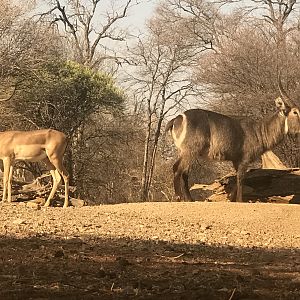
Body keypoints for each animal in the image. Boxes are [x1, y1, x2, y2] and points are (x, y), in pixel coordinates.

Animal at [166, 97, 300, 203]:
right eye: (295, 112)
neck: (259, 131)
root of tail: (177, 118)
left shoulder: (236, 160)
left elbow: (236, 179)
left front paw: (231, 198)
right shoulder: (244, 159)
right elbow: (241, 178)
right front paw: (239, 200)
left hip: (186, 152)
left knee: (184, 172)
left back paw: (189, 199)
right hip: (190, 151)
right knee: (177, 168)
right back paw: (179, 197)